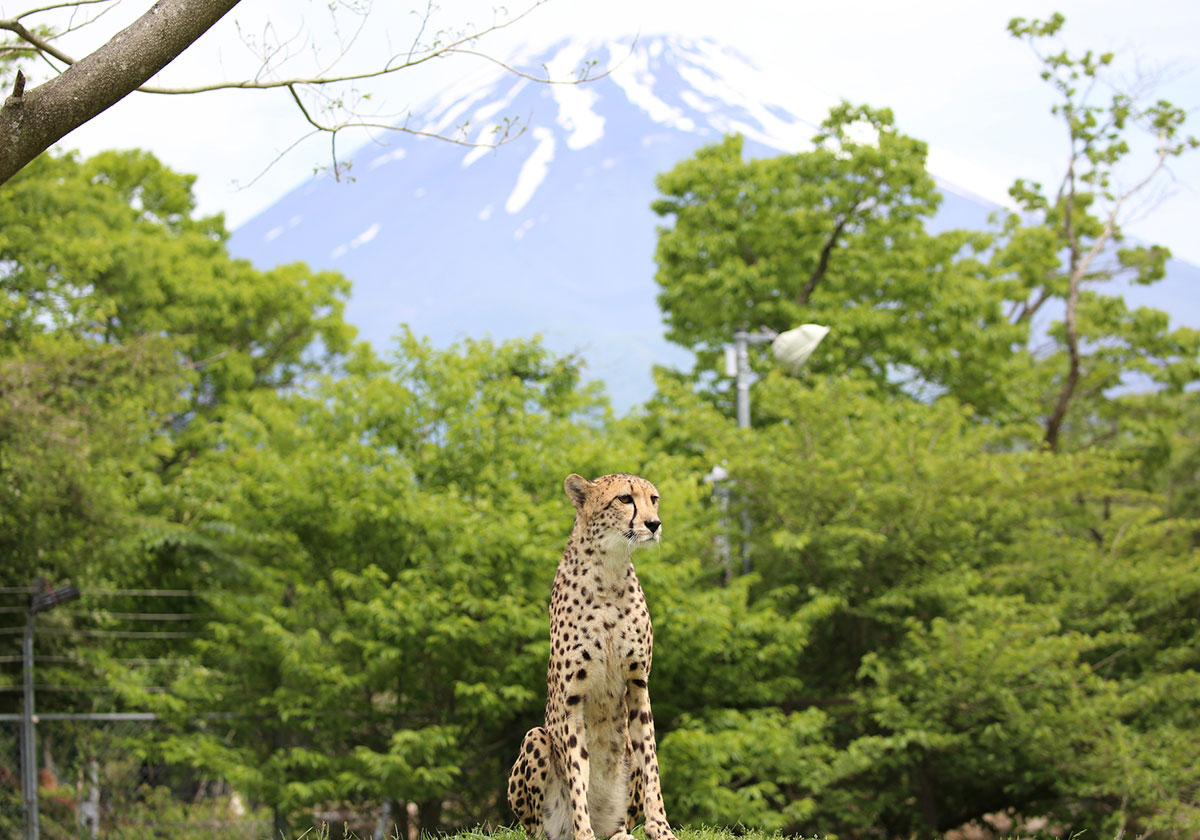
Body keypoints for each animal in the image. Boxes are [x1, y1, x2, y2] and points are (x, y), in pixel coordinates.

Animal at [506, 472, 676, 840]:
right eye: (625, 499)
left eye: (653, 499)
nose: (654, 524)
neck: (610, 570)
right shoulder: (572, 696)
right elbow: (577, 775)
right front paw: (584, 832)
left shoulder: (638, 683)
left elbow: (651, 759)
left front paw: (661, 827)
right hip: (536, 738)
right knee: (538, 827)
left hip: (624, 760)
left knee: (623, 817)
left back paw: (622, 833)